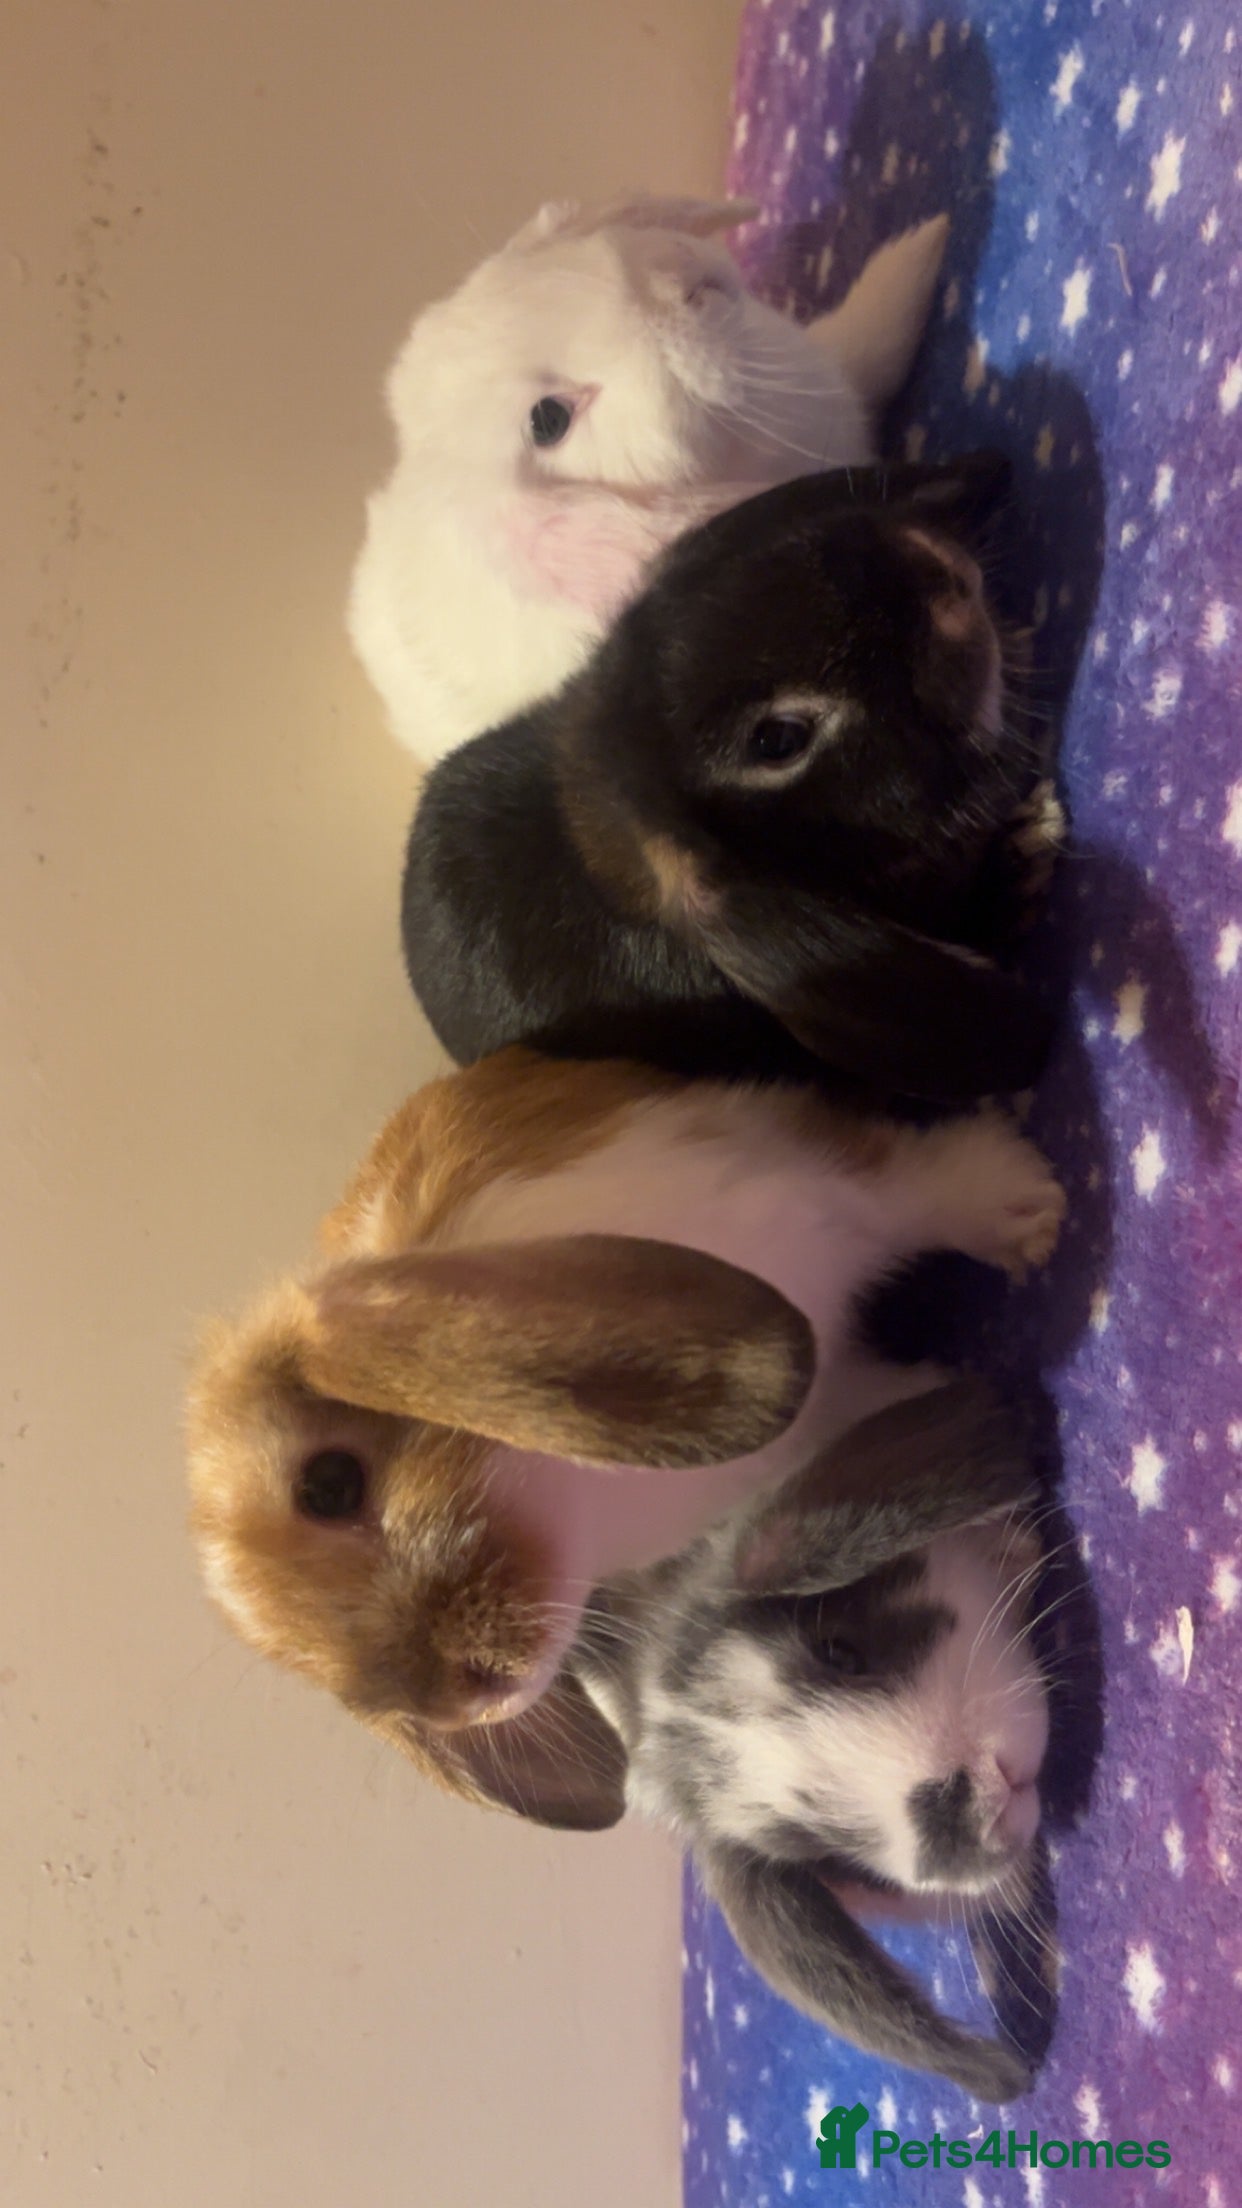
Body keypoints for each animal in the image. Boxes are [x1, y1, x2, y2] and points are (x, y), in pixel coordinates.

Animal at [186, 1044, 1064, 1830]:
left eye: (330, 1483)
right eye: (309, 1669)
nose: (465, 1700)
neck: (589, 1491)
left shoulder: (801, 1171)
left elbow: (913, 1186)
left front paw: (1026, 1209)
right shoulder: (811, 1416)